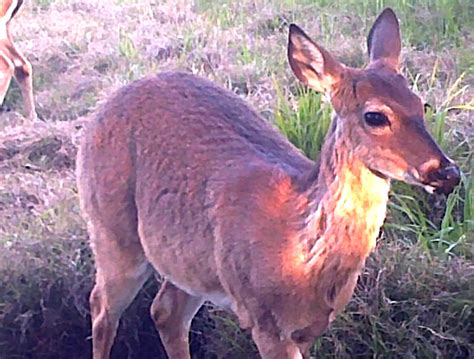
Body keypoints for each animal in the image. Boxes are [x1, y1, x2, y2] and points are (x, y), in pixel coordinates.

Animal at [77, 6, 460, 359]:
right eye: (375, 116)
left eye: (421, 105)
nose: (447, 172)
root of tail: (100, 110)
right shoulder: (265, 319)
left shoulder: (308, 328)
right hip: (111, 229)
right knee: (101, 305)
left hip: (187, 260)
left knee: (164, 312)